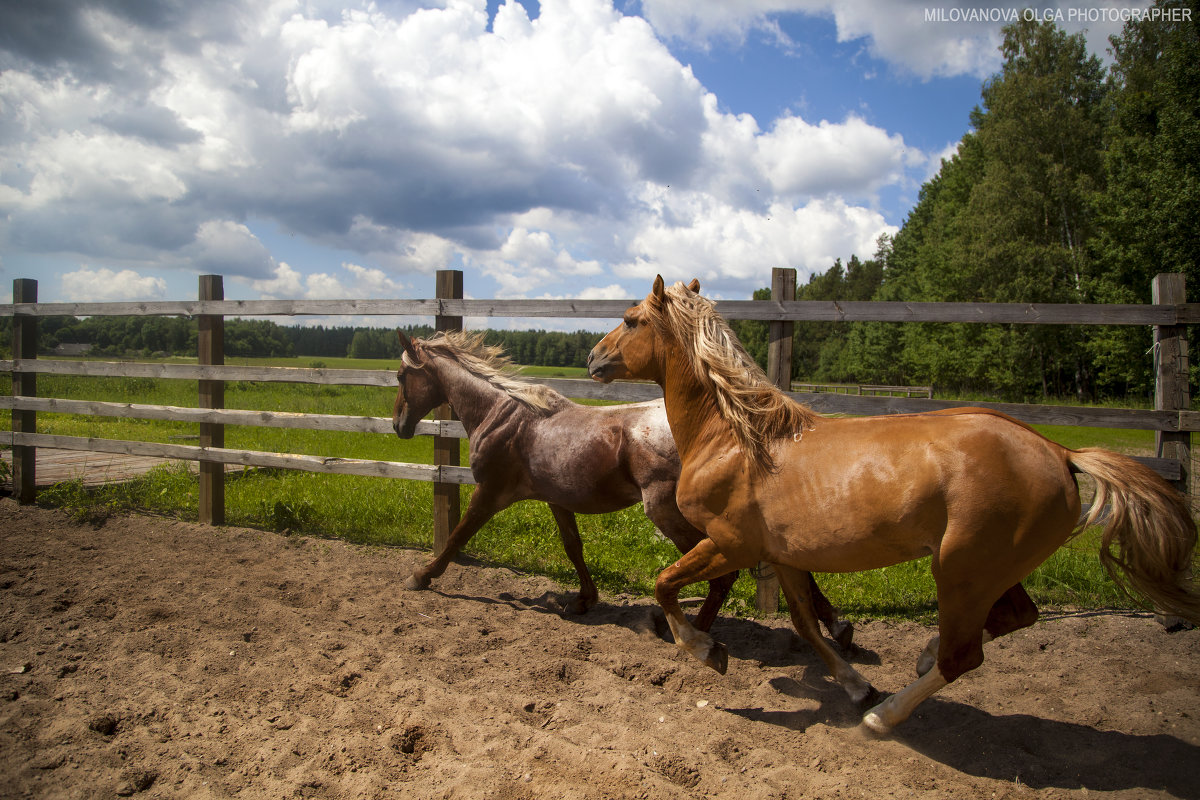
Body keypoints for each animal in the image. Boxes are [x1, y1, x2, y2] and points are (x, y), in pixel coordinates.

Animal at [388, 331, 849, 638]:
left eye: (400, 376)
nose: (398, 426)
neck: (503, 415)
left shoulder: (490, 492)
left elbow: (457, 536)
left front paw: (421, 576)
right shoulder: (556, 499)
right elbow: (572, 546)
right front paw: (583, 599)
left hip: (669, 511)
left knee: (725, 573)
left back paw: (693, 631)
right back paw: (836, 627)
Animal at [583, 278, 1200, 734]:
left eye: (632, 319)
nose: (592, 358)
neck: (737, 439)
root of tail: (1061, 452)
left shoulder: (731, 543)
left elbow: (665, 583)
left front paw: (708, 650)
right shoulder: (782, 554)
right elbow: (807, 624)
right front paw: (856, 684)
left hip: (961, 568)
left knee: (964, 656)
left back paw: (884, 717)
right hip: (992, 567)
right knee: (1013, 619)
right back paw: (916, 663)